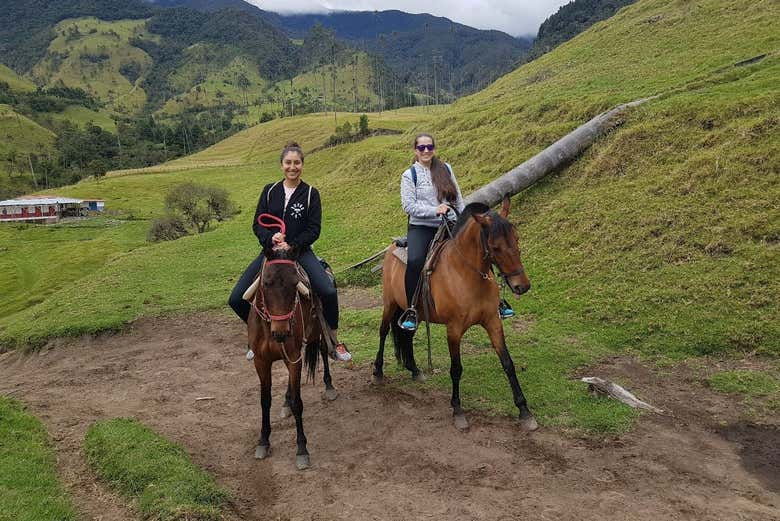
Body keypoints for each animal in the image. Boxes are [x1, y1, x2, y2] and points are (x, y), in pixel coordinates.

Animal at [248, 213, 336, 470]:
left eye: (293, 282)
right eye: (266, 282)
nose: (281, 333)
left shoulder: (294, 356)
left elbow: (299, 403)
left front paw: (302, 449)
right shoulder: (261, 361)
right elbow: (264, 400)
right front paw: (263, 441)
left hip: (317, 333)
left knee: (324, 351)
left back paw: (329, 386)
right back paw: (285, 402)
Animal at [376, 197, 536, 428]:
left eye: (516, 239)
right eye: (495, 247)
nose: (521, 286)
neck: (466, 273)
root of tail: (391, 248)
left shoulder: (493, 322)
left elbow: (507, 363)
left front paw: (524, 410)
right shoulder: (453, 329)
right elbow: (456, 368)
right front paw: (458, 409)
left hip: (413, 313)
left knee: (406, 335)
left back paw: (414, 370)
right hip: (389, 305)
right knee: (382, 332)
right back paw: (377, 372)